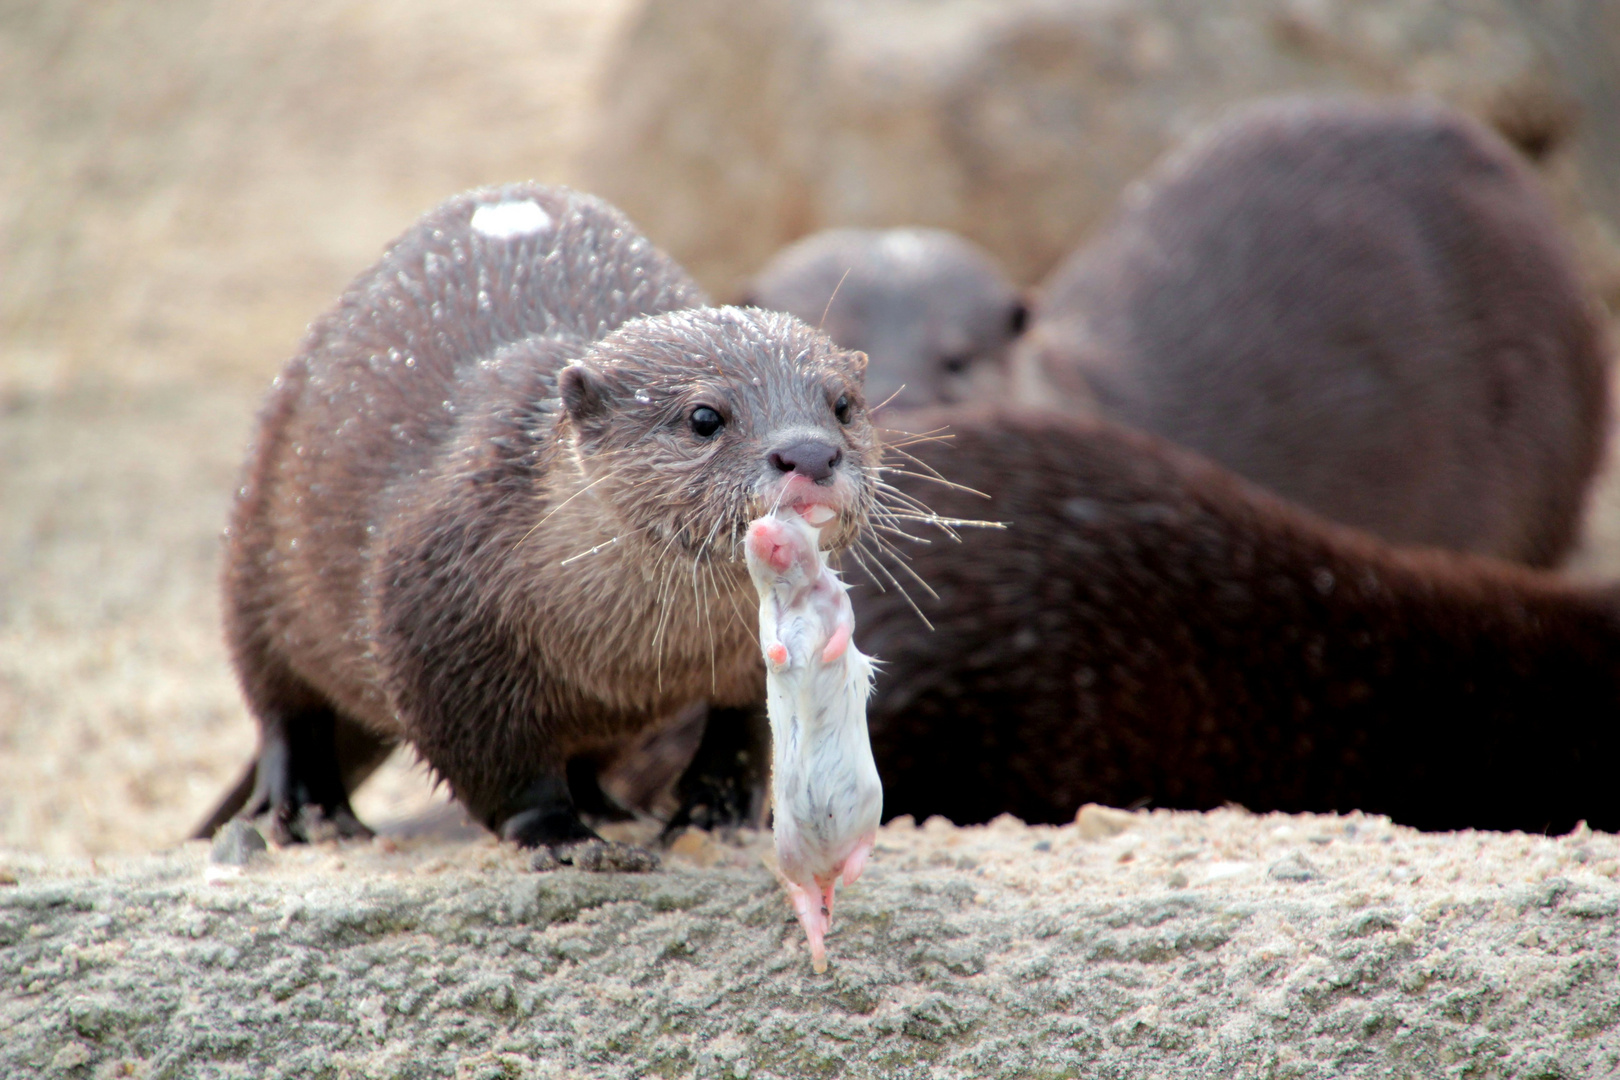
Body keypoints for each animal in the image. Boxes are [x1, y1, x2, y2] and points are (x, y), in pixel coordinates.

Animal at [196, 183, 881, 861]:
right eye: (705, 417)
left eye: (843, 405)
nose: (810, 453)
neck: (631, 658)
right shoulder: (435, 620)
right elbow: (498, 765)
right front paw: (561, 835)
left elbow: (742, 725)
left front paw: (715, 809)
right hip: (256, 545)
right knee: (282, 705)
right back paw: (306, 808)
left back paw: (609, 804)